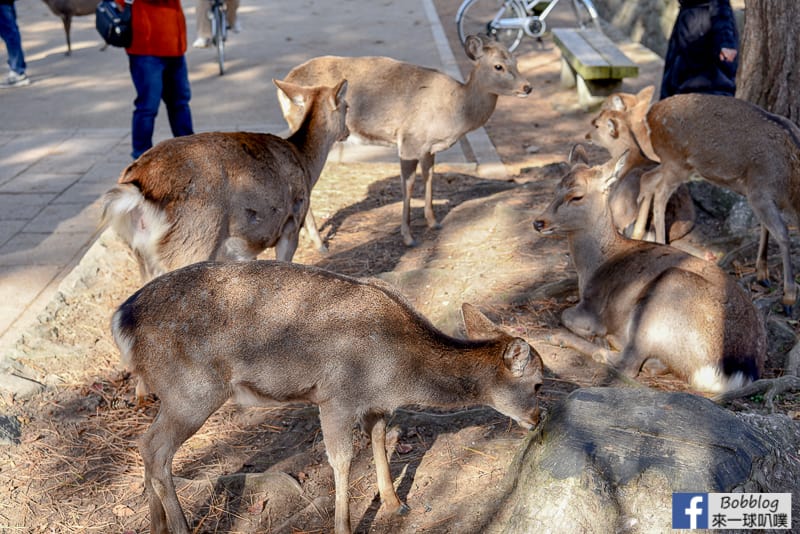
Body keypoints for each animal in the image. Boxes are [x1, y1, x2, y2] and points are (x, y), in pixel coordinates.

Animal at [101, 78, 348, 284]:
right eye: (346, 106)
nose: (346, 132)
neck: (305, 162)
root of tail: (135, 187)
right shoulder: (291, 223)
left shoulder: (239, 252)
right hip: (192, 243)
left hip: (141, 254)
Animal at [111, 260, 544, 534]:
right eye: (539, 383)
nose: (539, 417)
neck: (399, 374)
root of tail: (121, 320)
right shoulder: (336, 396)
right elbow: (341, 460)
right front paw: (344, 526)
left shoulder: (374, 404)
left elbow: (379, 441)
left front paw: (394, 504)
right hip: (192, 390)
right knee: (155, 448)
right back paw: (179, 528)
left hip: (176, 393)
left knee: (146, 446)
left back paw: (155, 526)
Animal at [278, 34, 536, 248]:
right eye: (498, 66)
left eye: (516, 61)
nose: (527, 87)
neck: (455, 110)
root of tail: (284, 83)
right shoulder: (410, 141)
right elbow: (409, 185)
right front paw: (408, 237)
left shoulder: (429, 148)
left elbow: (430, 176)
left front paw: (434, 222)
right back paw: (319, 243)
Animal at [536, 147, 764, 394]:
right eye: (556, 188)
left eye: (577, 196)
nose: (539, 222)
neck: (591, 268)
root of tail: (735, 372)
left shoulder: (593, 306)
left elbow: (565, 314)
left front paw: (594, 334)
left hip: (662, 297)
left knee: (628, 363)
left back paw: (568, 338)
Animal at [628, 93, 800, 314]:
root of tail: (650, 115)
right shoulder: (759, 191)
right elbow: (782, 233)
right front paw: (788, 298)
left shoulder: (759, 195)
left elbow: (766, 228)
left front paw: (763, 275)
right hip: (676, 160)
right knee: (660, 193)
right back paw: (660, 243)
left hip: (674, 163)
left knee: (648, 179)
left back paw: (637, 233)